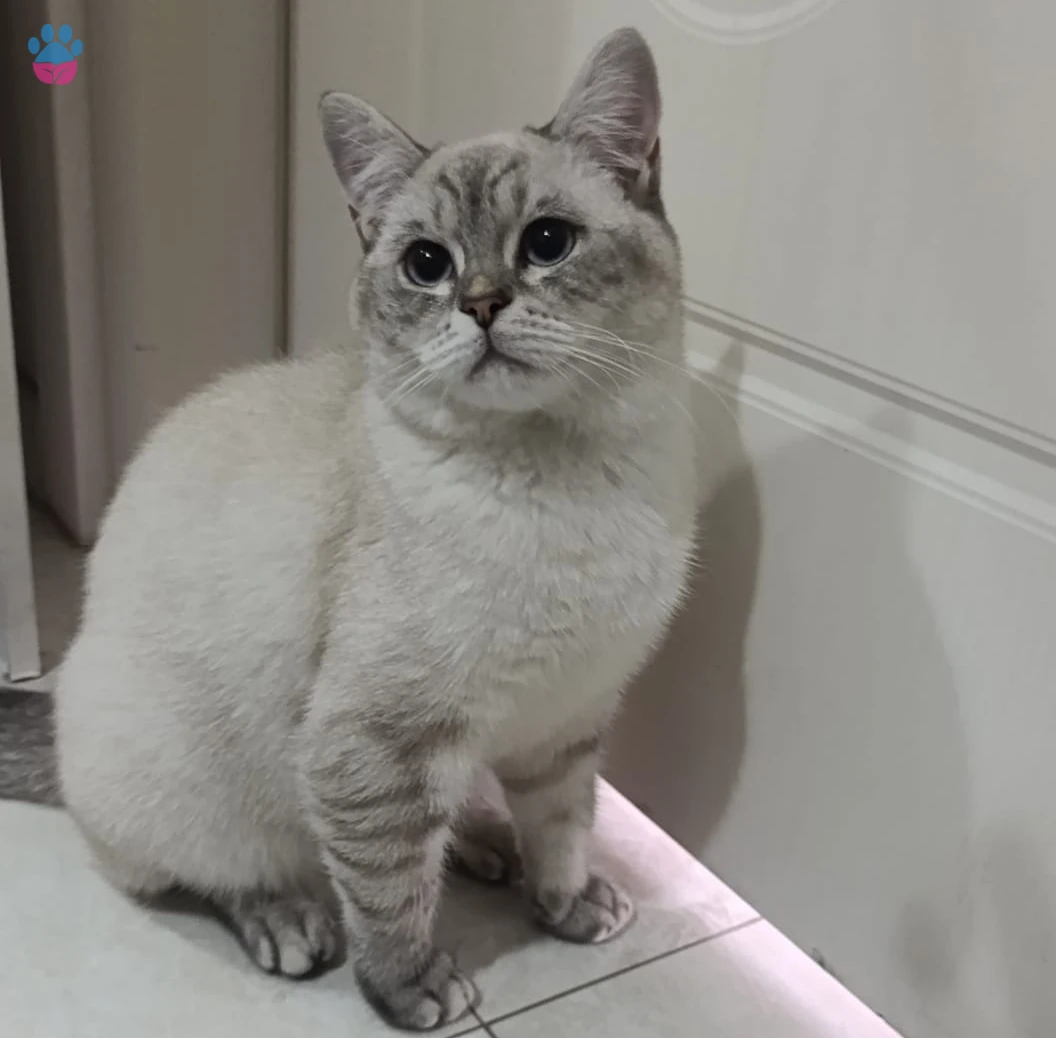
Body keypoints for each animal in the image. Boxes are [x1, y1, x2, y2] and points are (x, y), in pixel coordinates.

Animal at [9, 27, 697, 1031]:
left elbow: (564, 828)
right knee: (217, 873)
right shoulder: (375, 745)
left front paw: (568, 907)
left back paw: (485, 846)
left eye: (547, 243)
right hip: (202, 791)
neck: (568, 483)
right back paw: (289, 921)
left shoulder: (566, 720)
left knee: (461, 819)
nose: (481, 304)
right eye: (427, 264)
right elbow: (390, 891)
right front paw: (415, 989)